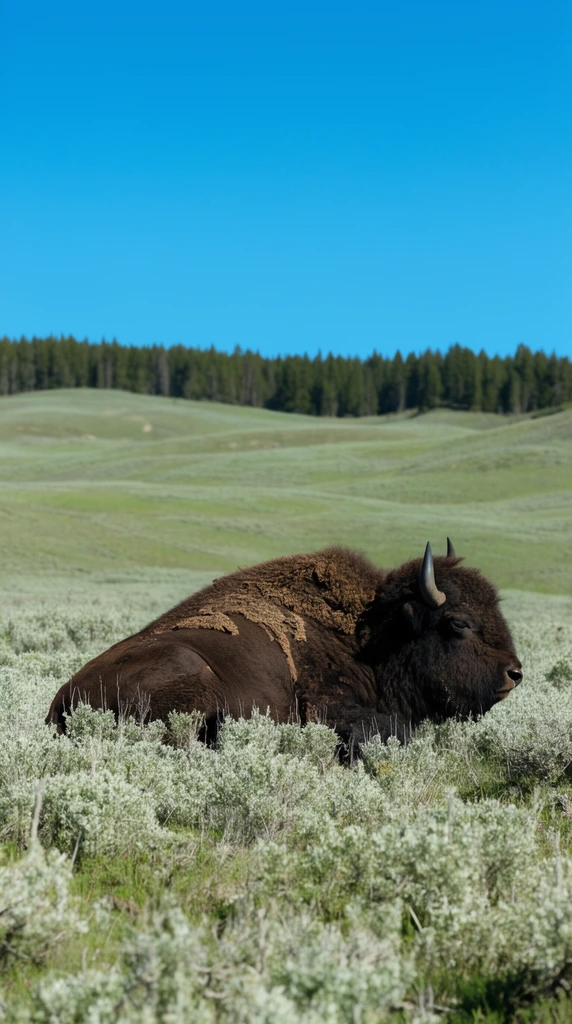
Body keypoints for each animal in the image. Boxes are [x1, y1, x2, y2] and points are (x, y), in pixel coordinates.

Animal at [46, 540, 522, 746]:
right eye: (458, 623)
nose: (514, 673)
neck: (370, 637)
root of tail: (60, 700)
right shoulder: (329, 708)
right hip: (190, 670)